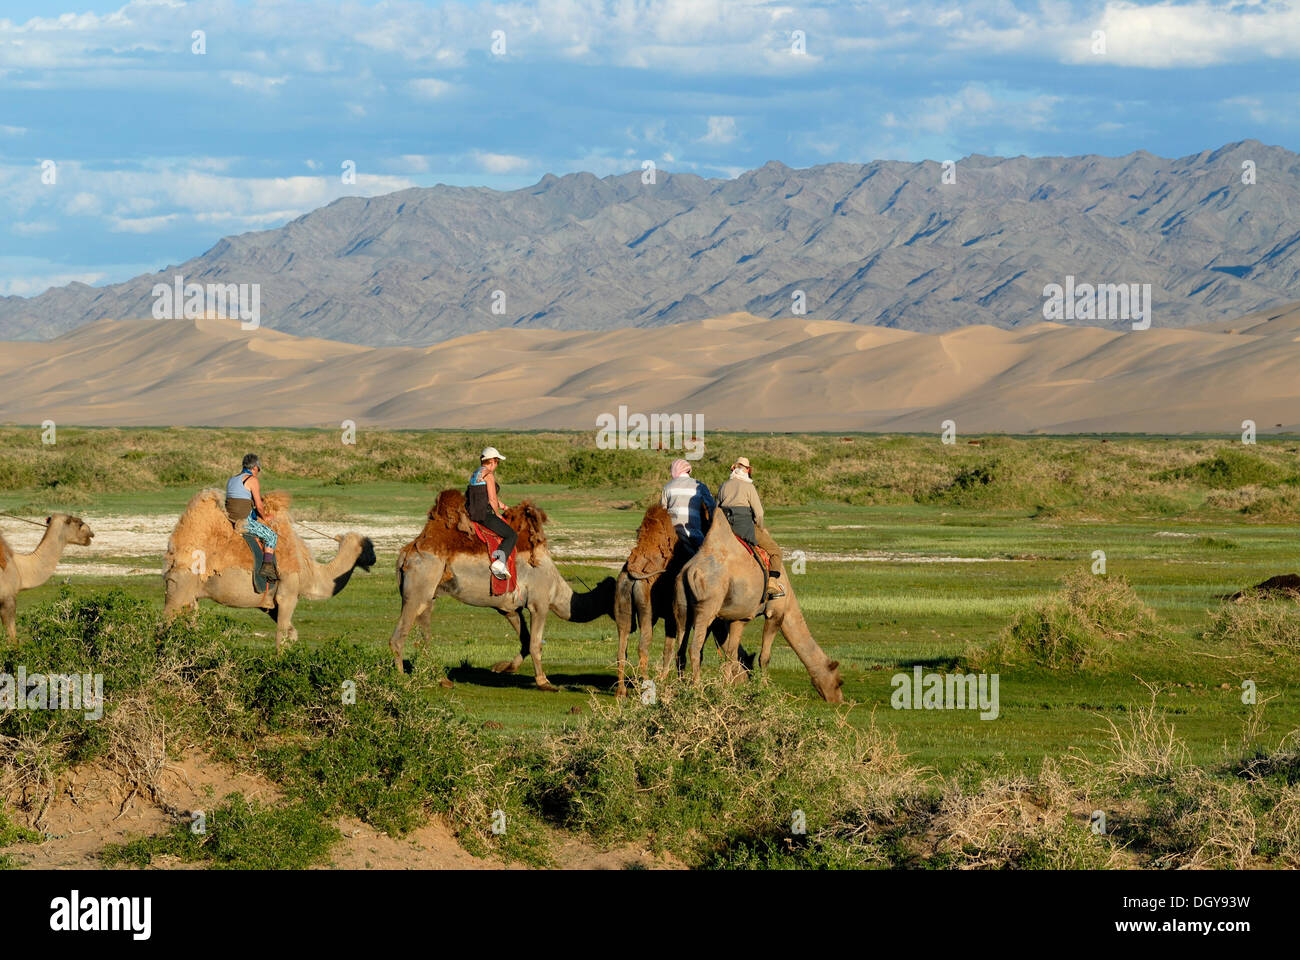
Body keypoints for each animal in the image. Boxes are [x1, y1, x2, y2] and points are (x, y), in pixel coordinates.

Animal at [162, 486, 377, 650]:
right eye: (368, 546)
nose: (374, 559)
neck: (309, 573)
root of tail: (174, 552)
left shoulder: (270, 604)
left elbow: (292, 634)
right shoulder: (288, 594)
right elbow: (281, 637)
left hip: (190, 593)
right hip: (182, 584)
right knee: (166, 621)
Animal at [387, 489, 616, 686]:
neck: (556, 588)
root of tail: (406, 553)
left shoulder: (508, 607)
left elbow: (525, 639)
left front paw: (502, 668)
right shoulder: (539, 603)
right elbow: (535, 643)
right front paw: (544, 682)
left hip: (429, 592)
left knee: (425, 631)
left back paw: (442, 679)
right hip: (419, 585)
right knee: (398, 637)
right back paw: (402, 681)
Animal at [676, 509, 847, 702]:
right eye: (838, 682)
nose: (839, 700)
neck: (790, 603)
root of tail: (691, 571)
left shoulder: (732, 617)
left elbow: (731, 654)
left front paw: (731, 687)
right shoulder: (776, 612)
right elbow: (764, 657)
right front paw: (765, 688)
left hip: (684, 607)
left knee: (682, 646)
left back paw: (681, 686)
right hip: (707, 606)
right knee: (694, 648)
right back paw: (696, 688)